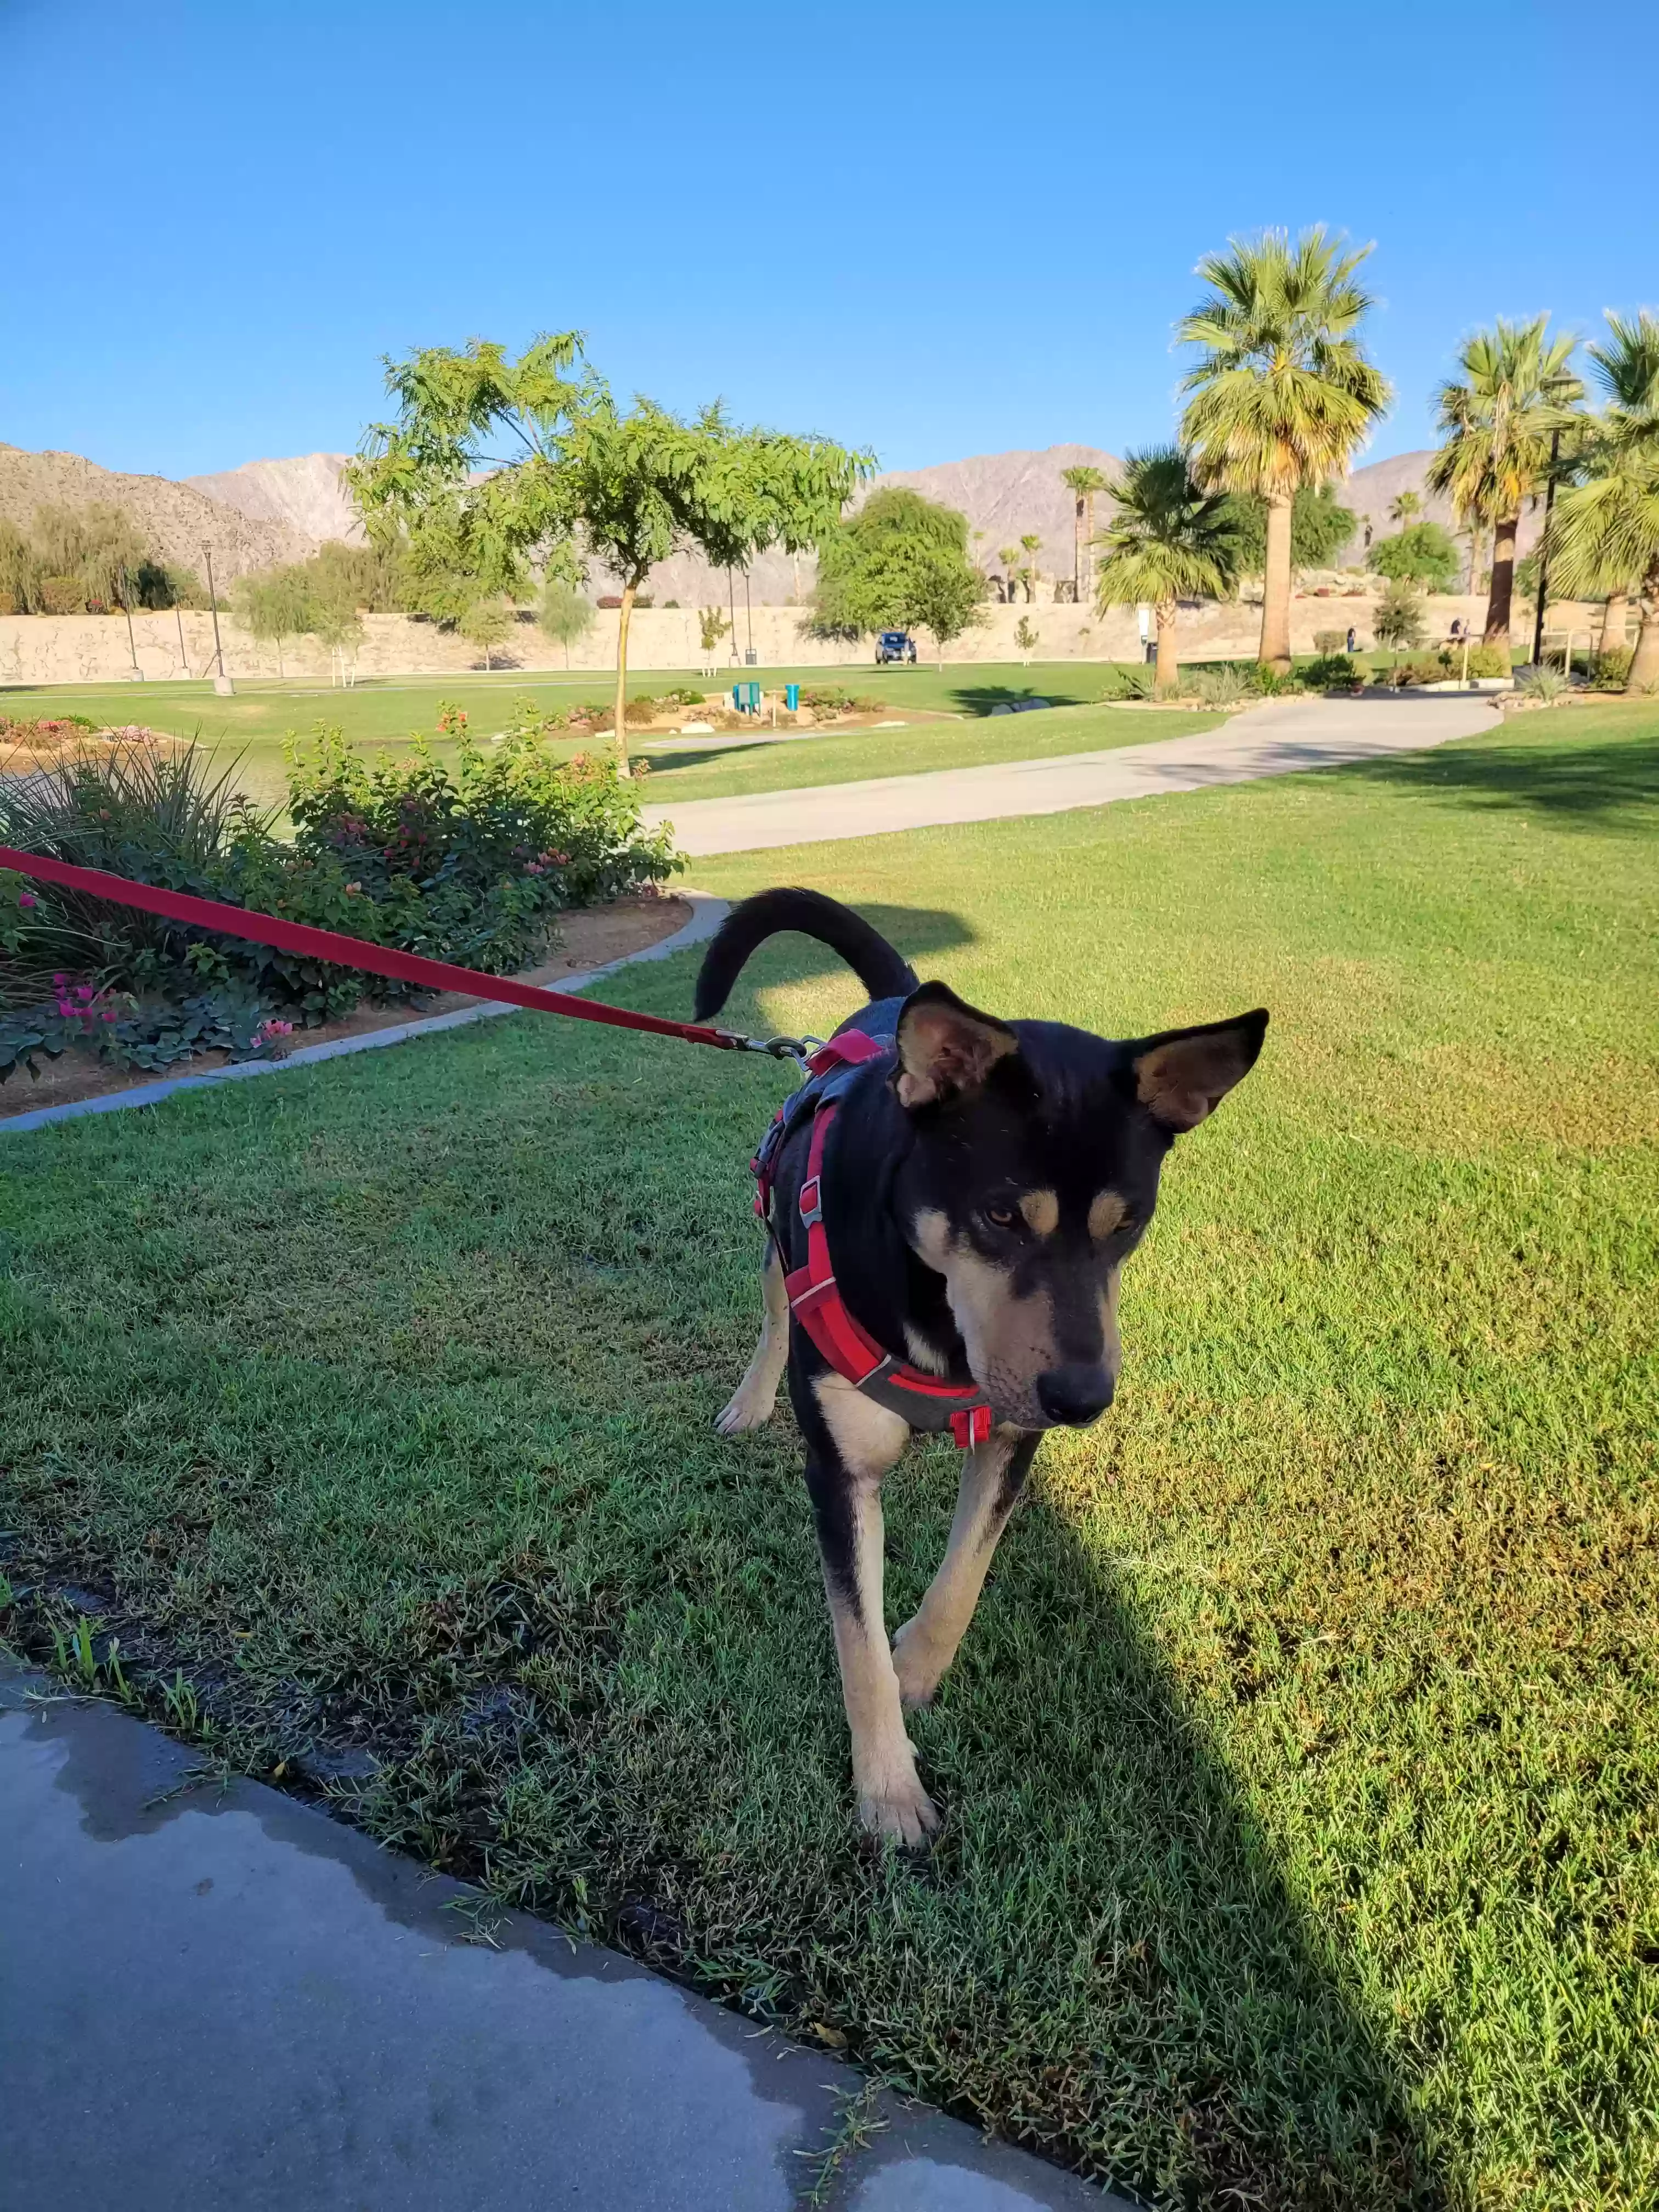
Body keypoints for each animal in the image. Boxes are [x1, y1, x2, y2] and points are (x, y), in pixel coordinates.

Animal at [695, 889, 1265, 1840]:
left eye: (1129, 1222)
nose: (1083, 1399)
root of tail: (897, 1002)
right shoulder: (841, 1473)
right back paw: (750, 1398)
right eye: (1000, 1215)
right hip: (774, 1226)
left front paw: (919, 1667)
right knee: (773, 1307)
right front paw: (889, 1793)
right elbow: (855, 1647)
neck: (935, 1314)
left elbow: (965, 1574)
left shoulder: (1009, 1436)